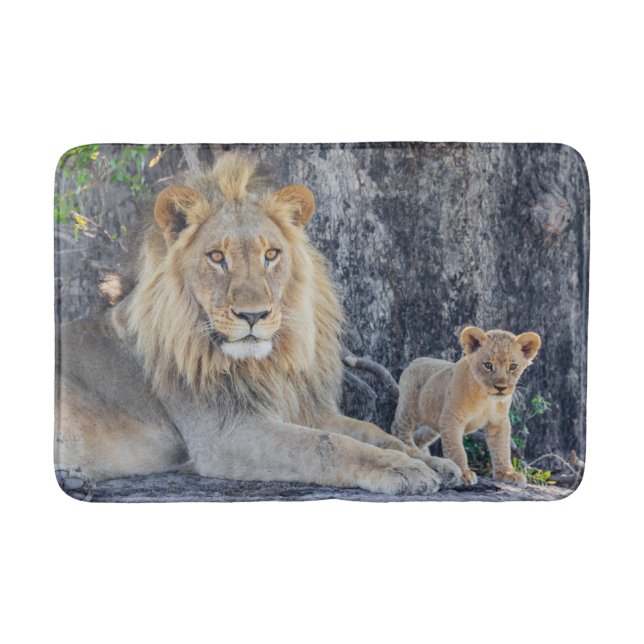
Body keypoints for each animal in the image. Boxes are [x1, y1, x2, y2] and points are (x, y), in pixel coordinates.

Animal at [55, 152, 461, 500]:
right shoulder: (225, 434)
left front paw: (432, 461)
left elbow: (371, 431)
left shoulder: (306, 410)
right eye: (217, 257)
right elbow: (325, 445)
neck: (265, 365)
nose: (253, 316)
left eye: (271, 254)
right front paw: (401, 468)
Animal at [391, 326, 541, 486]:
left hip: (433, 421)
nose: (500, 388)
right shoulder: (451, 419)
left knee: (420, 436)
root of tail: (415, 360)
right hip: (409, 407)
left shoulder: (499, 422)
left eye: (512, 366)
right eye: (488, 365)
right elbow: (456, 449)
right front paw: (463, 473)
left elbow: (502, 448)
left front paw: (506, 473)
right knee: (399, 429)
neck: (485, 398)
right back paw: (412, 449)